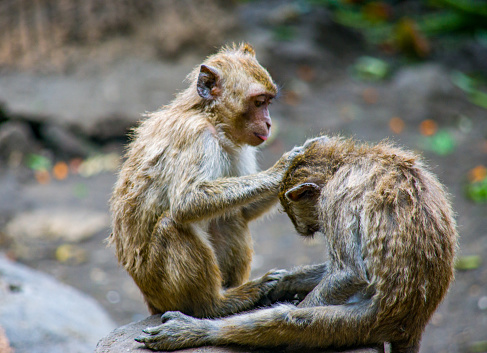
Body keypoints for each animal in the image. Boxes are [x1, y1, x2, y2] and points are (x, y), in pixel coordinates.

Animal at [109, 42, 310, 320]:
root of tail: (149, 300)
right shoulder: (195, 137)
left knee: (229, 216)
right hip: (159, 287)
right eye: (259, 102)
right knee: (172, 223)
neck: (212, 119)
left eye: (268, 102)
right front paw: (281, 168)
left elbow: (245, 210)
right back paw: (216, 304)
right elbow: (187, 203)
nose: (269, 124)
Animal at [135, 135, 460, 352]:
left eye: (290, 209)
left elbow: (348, 274)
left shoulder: (337, 195)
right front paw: (279, 283)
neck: (346, 161)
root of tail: (415, 320)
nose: (298, 226)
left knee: (288, 321)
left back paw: (199, 330)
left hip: (371, 323)